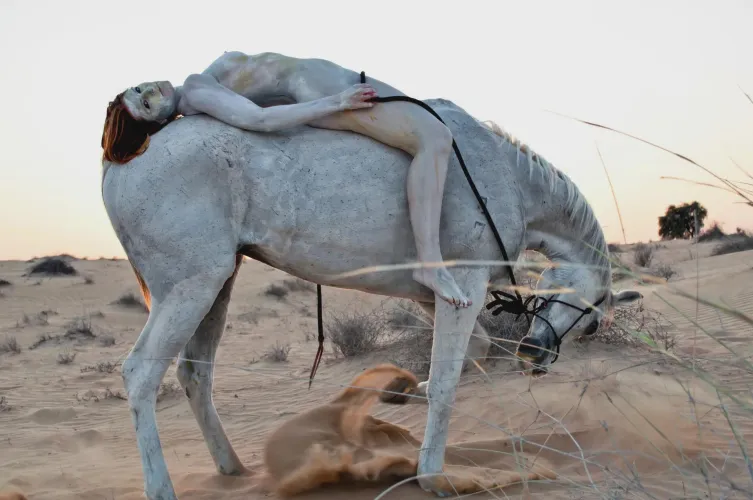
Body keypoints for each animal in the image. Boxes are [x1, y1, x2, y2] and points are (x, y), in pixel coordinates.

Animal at [101, 97, 641, 499]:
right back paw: (162, 487)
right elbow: (449, 382)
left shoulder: (436, 296)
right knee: (142, 373)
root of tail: (121, 158)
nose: (536, 354)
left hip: (218, 283)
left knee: (195, 374)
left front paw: (402, 395)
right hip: (191, 286)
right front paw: (432, 475)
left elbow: (472, 355)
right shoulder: (463, 285)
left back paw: (234, 469)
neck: (511, 182)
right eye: (594, 320)